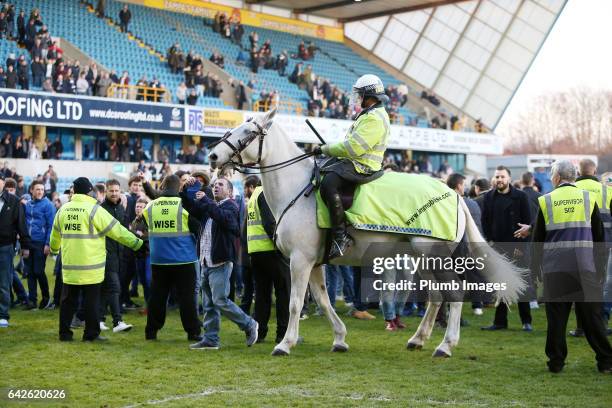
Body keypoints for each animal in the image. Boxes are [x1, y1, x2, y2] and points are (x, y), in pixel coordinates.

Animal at [208, 108, 524, 356]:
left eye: (249, 132)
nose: (212, 155)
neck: (296, 188)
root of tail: (454, 195)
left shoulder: (299, 260)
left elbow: (296, 303)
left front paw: (285, 344)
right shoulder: (314, 263)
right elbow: (323, 301)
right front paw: (339, 338)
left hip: (434, 256)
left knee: (454, 293)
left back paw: (445, 346)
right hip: (423, 260)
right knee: (436, 296)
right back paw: (418, 339)